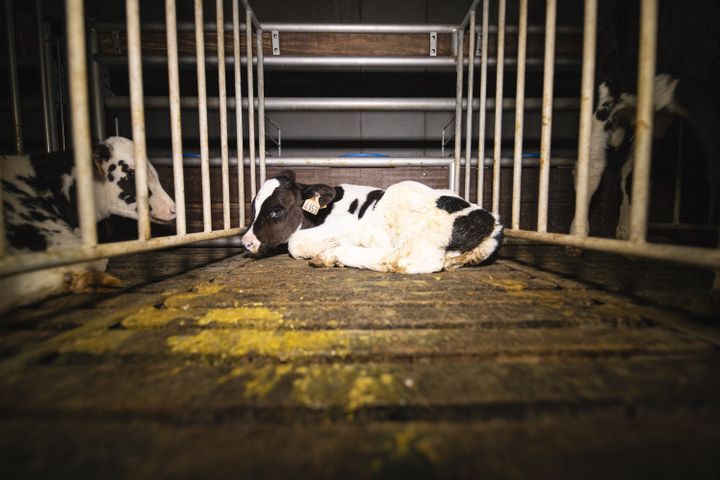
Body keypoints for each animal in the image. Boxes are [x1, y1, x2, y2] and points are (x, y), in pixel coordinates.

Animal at [239, 171, 504, 272]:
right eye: (253, 207)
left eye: (276, 210)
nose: (246, 242)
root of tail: (491, 222)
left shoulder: (347, 226)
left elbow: (294, 243)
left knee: (403, 260)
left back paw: (331, 256)